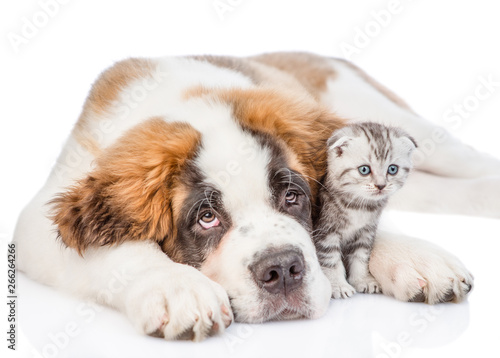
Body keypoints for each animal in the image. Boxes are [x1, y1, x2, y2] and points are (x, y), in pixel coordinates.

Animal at [316, 123, 418, 300]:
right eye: (364, 170)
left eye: (392, 169)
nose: (381, 185)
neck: (359, 206)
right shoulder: (326, 232)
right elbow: (331, 261)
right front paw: (339, 285)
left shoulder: (366, 232)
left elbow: (361, 258)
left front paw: (363, 280)